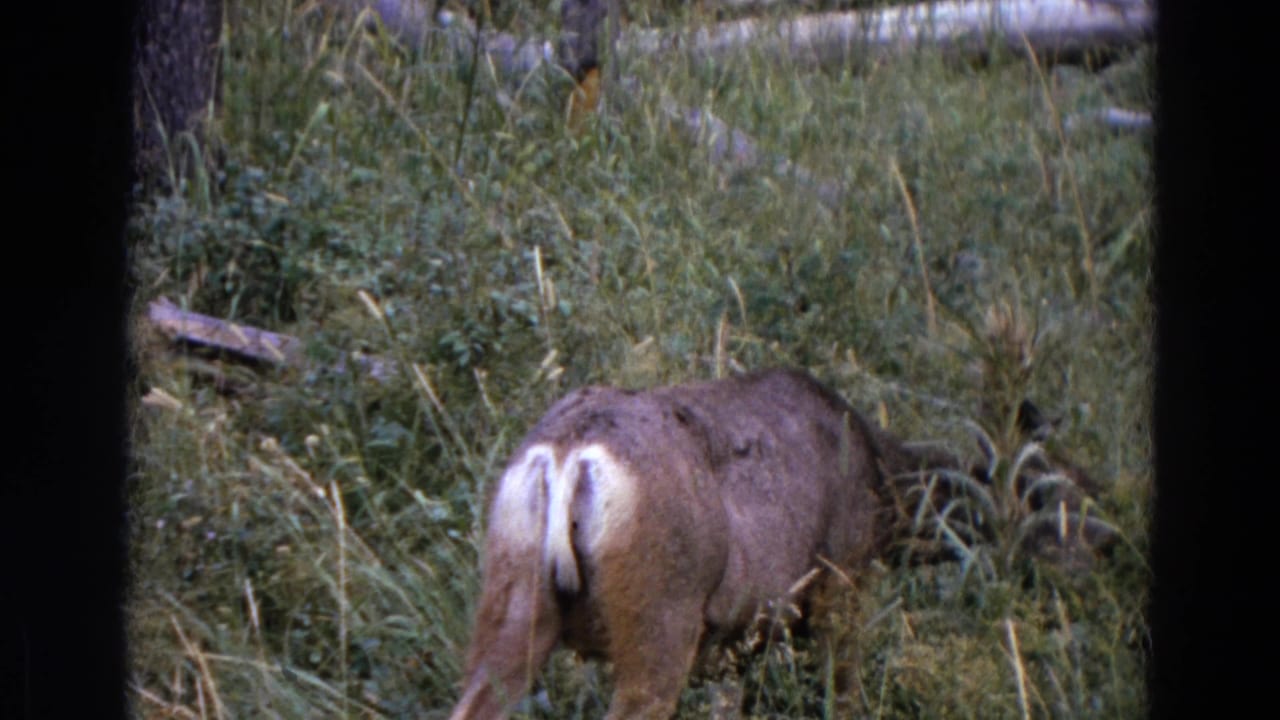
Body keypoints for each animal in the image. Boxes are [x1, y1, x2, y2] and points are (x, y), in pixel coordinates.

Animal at [445, 367, 987, 720]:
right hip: (660, 614)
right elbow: (845, 694)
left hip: (516, 597)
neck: (882, 483)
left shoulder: (730, 642)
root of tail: (568, 455)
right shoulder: (840, 583)